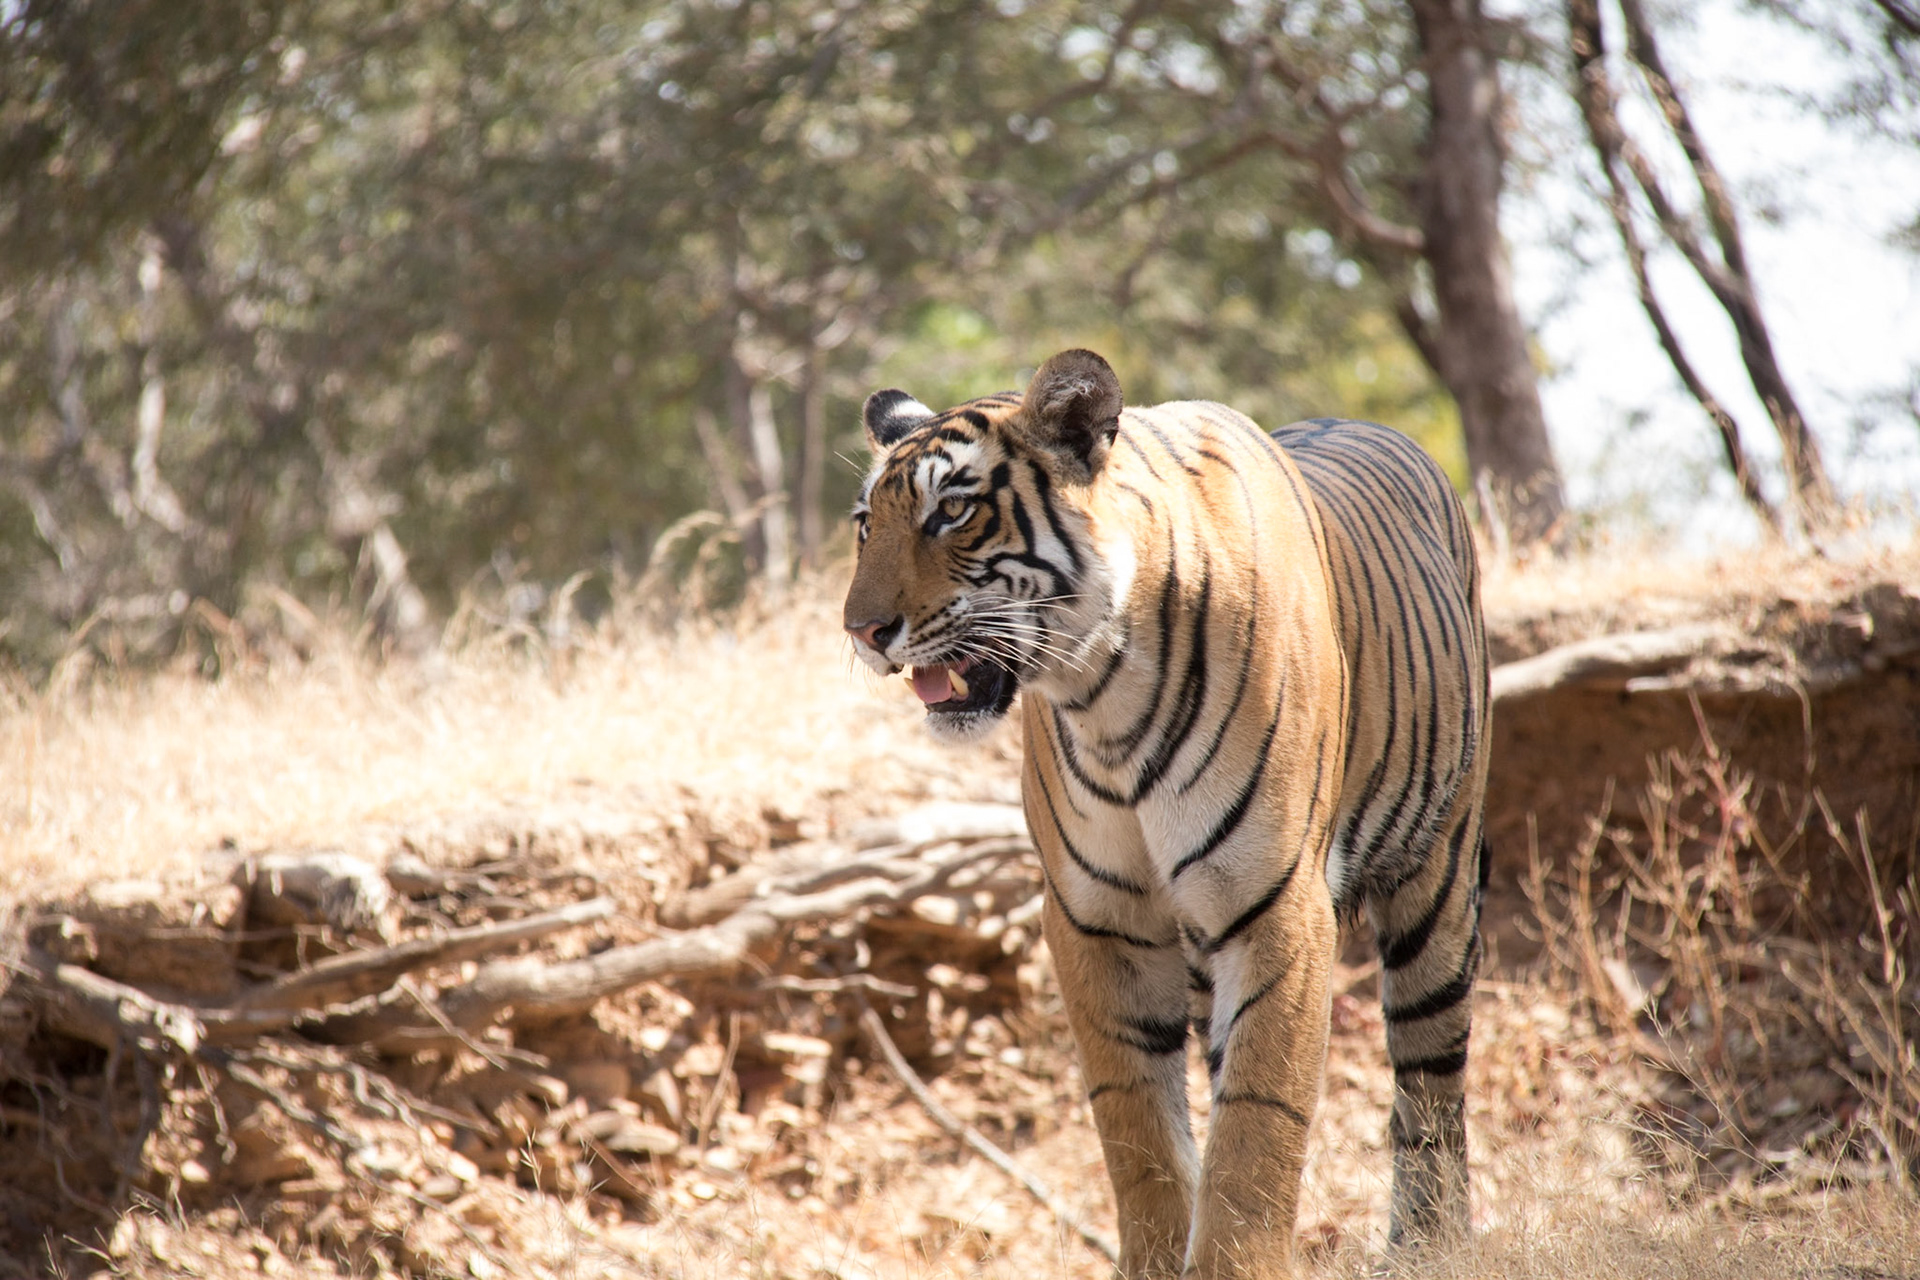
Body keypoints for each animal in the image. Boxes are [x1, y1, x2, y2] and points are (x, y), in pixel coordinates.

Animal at [843, 349, 1489, 1278]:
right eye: (867, 524)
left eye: (952, 512)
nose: (862, 630)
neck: (1102, 694)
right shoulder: (1096, 916)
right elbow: (1137, 1123)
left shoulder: (1277, 905)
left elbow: (1256, 1123)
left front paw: (1235, 1264)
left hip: (1435, 879)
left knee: (1431, 1082)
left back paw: (1430, 1244)